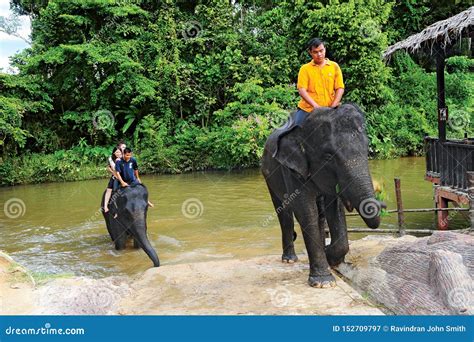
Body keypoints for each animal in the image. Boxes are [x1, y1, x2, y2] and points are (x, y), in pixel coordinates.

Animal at [262, 103, 384, 288]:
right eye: (328, 156)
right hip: (268, 175)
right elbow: (305, 210)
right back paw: (289, 260)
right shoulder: (292, 169)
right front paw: (323, 282)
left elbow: (334, 208)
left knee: (319, 214)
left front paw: (329, 257)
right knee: (284, 212)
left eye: (367, 149)